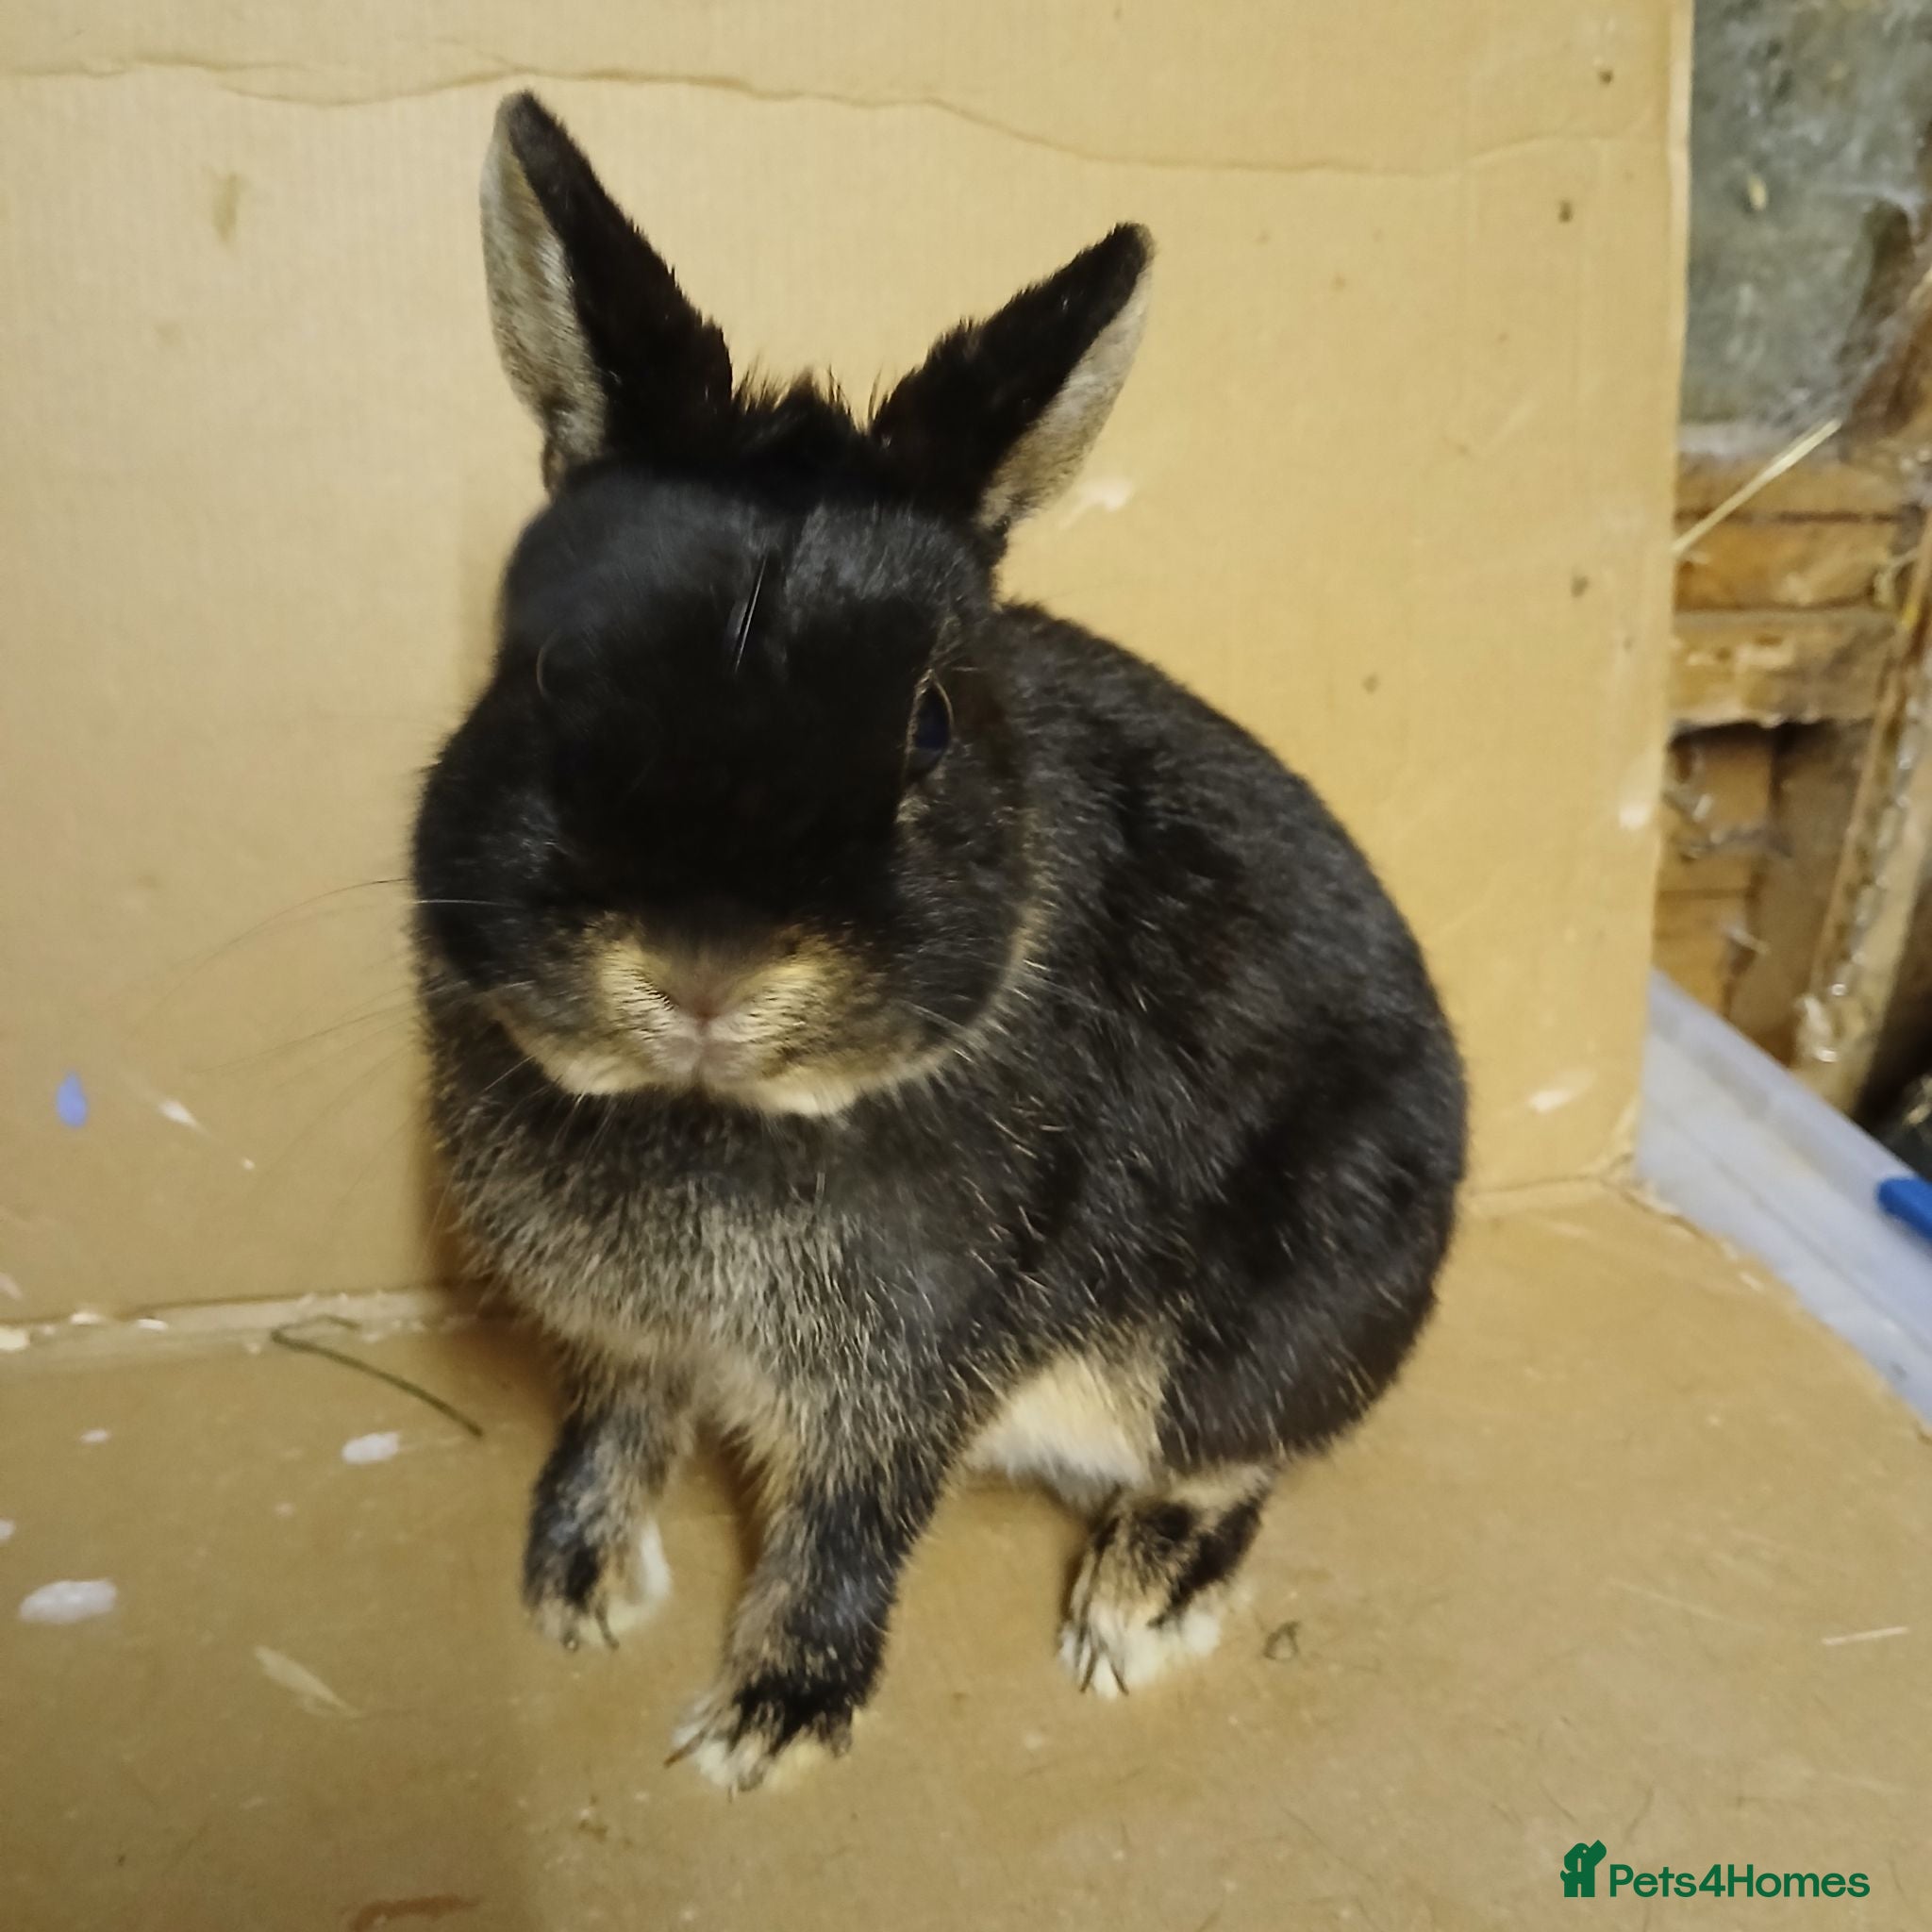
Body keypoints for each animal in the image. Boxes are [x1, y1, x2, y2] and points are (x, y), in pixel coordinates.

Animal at [411, 91, 1467, 1792]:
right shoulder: (628, 1339)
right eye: (555, 667)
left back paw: (1132, 1606)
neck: (717, 1109)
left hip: (1266, 1325)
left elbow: (847, 1528)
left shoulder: (910, 1376)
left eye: (928, 725)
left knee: (1232, 1465)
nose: (703, 968)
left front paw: (769, 1724)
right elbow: (620, 1415)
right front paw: (575, 1583)